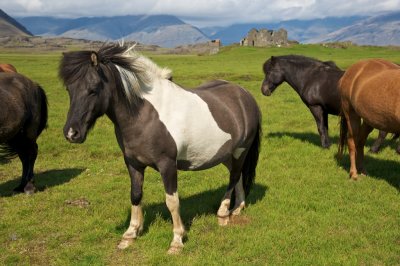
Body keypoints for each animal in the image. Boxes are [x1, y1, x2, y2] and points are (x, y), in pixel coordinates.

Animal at [57, 43, 260, 254]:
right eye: (69, 89)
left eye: (93, 89)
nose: (71, 133)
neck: (145, 115)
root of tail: (245, 95)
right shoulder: (133, 163)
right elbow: (135, 195)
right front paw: (130, 234)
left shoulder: (167, 164)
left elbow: (172, 201)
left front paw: (177, 240)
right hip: (226, 154)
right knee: (238, 175)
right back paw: (237, 208)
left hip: (240, 151)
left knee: (234, 177)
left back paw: (223, 213)